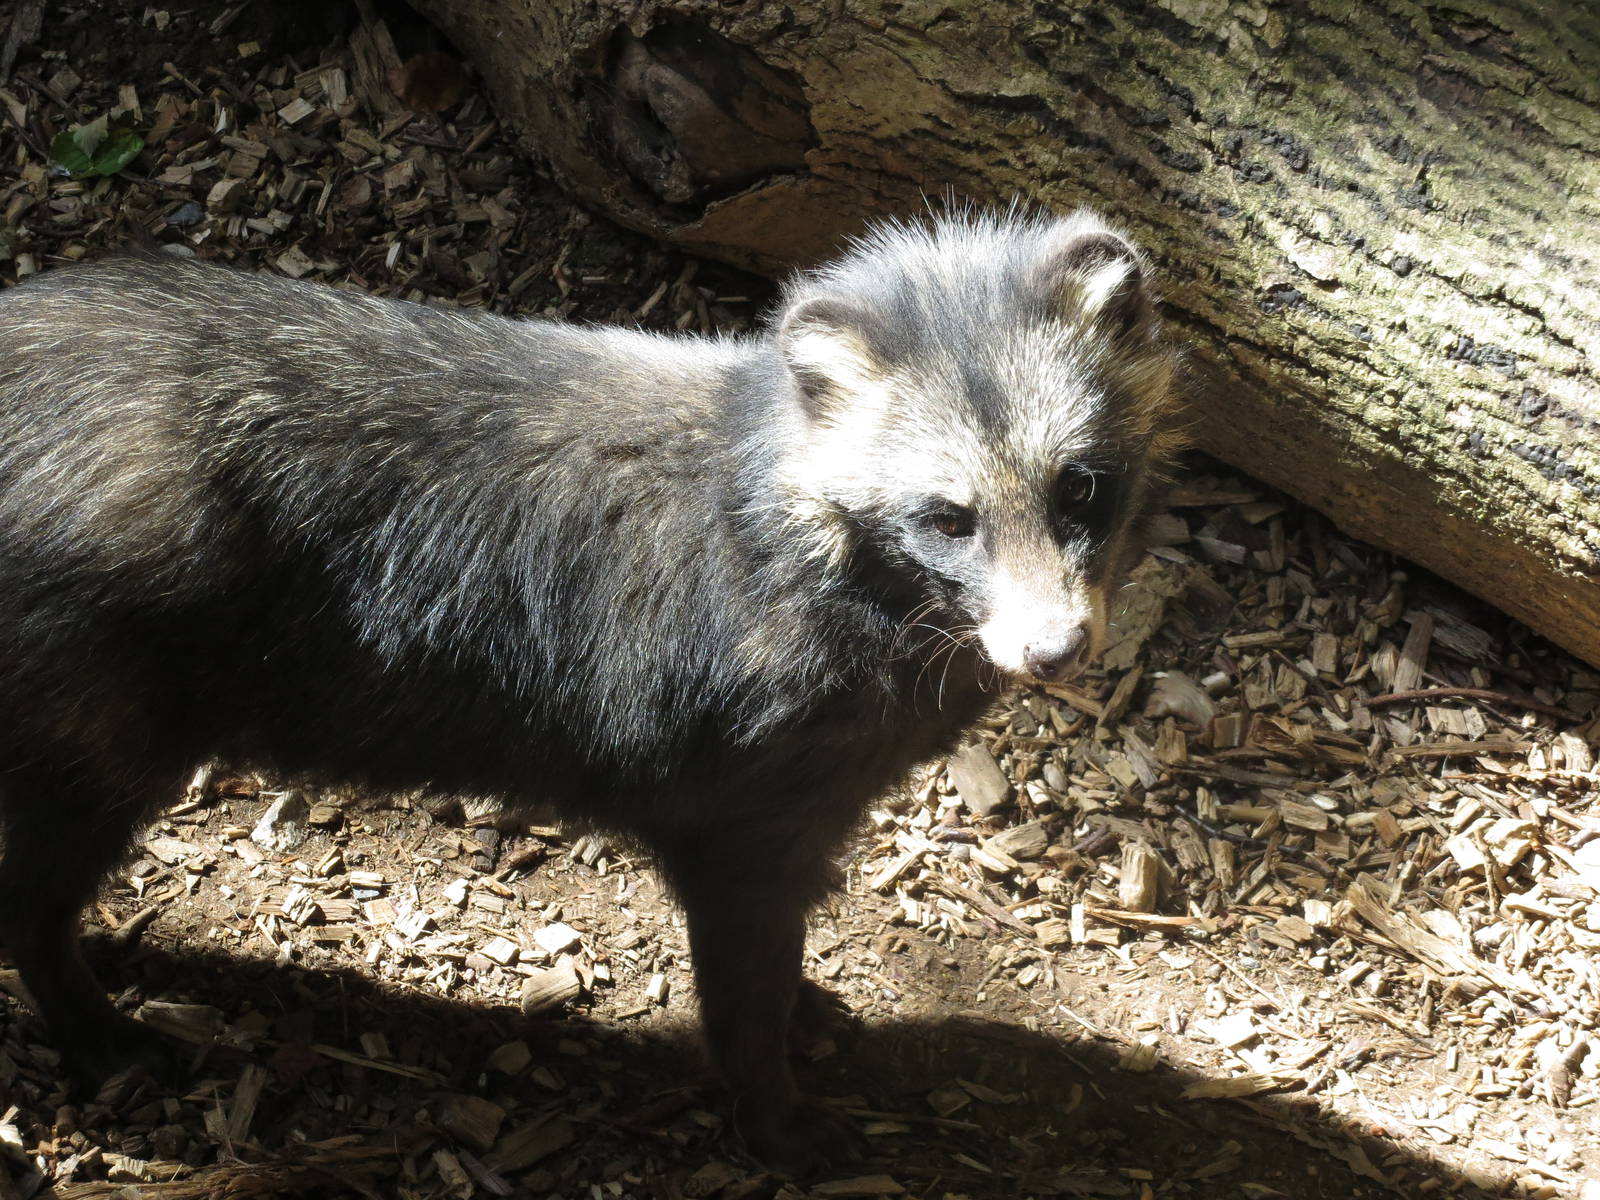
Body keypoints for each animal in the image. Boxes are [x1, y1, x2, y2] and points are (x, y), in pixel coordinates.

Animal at [0, 209, 1179, 1170]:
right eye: (947, 516)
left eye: (1080, 485)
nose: (1055, 649)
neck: (789, 530)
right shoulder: (738, 822)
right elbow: (742, 993)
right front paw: (777, 1122)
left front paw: (807, 1017)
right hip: (88, 748)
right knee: (29, 911)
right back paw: (98, 1030)